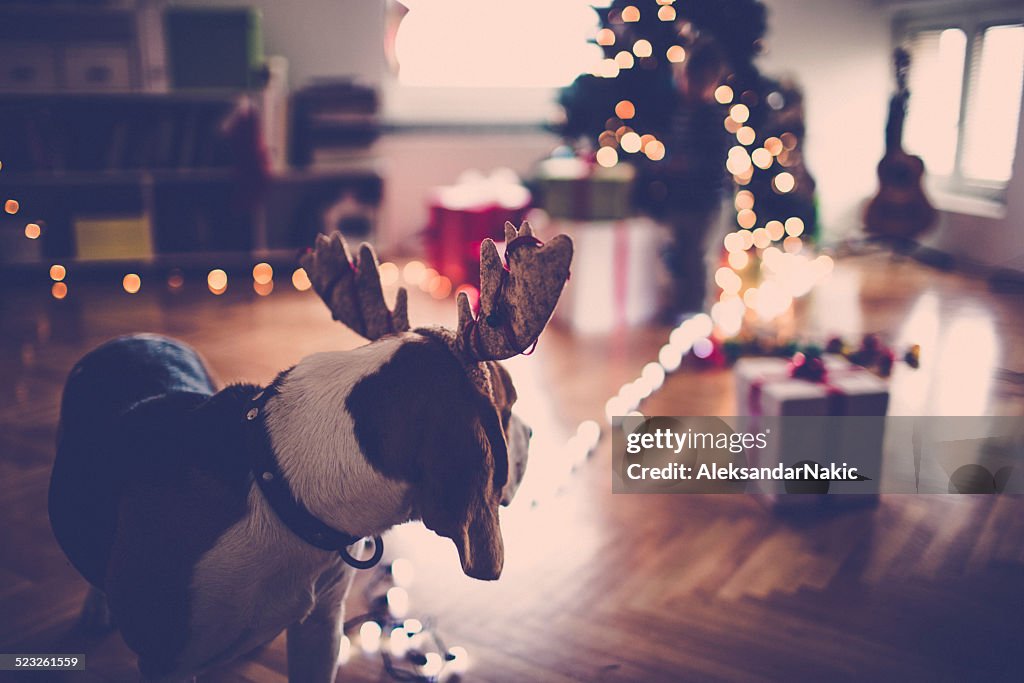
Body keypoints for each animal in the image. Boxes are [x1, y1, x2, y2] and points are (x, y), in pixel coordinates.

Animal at [48, 223, 573, 679]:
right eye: (509, 400)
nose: (533, 433)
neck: (283, 484)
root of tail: (133, 336)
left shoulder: (321, 628)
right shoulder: (168, 663)